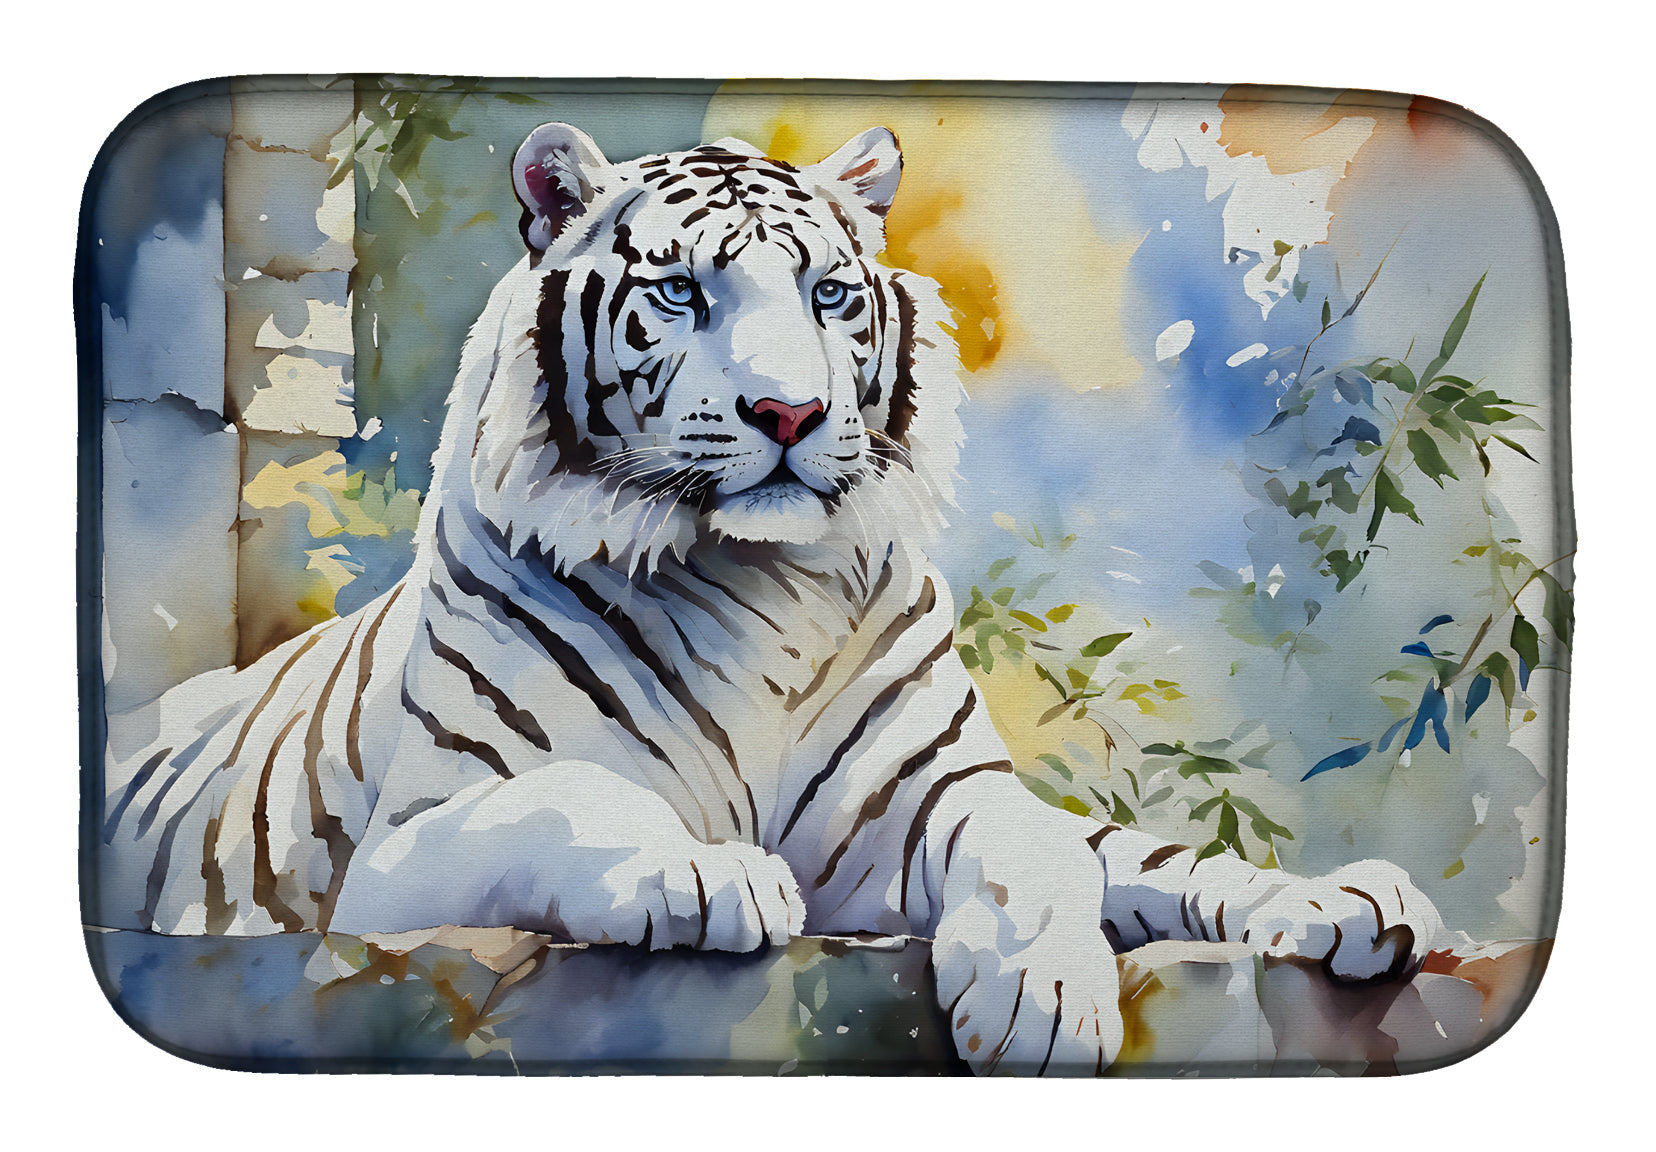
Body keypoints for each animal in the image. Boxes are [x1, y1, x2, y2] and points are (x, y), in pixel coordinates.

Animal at [95, 121, 1446, 1075]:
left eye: (830, 296)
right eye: (681, 293)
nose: (789, 414)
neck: (760, 580)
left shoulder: (922, 805)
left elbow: (1057, 845)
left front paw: (1047, 991)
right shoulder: (401, 854)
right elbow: (576, 796)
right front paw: (708, 875)